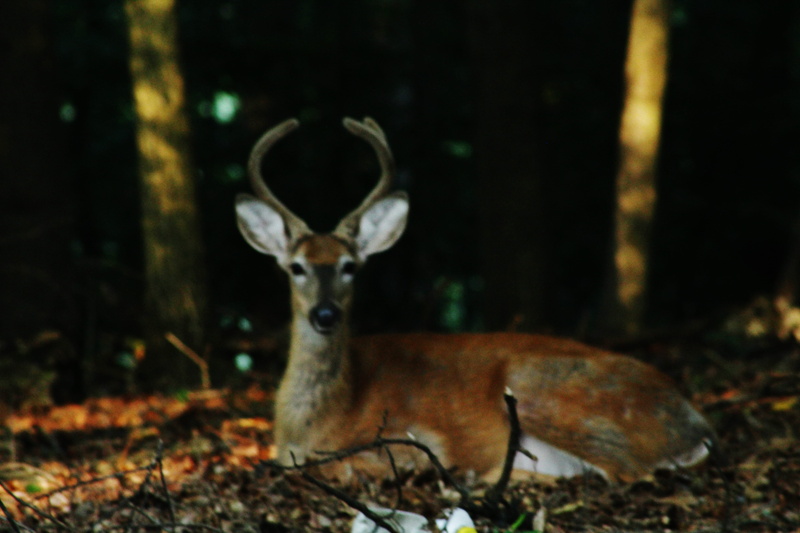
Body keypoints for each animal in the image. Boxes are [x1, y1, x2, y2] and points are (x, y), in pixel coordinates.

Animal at [235, 117, 716, 482]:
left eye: (350, 266)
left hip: (537, 385)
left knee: (626, 471)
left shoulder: (414, 438)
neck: (316, 421)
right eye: (296, 267)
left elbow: (338, 464)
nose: (325, 313)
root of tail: (696, 423)